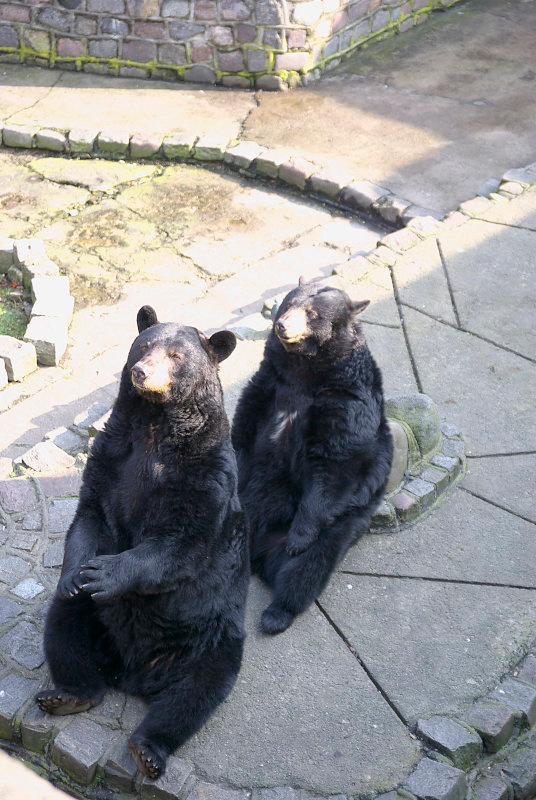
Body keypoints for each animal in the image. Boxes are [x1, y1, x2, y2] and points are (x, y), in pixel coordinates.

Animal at [37, 306, 249, 780]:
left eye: (175, 355)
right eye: (144, 346)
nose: (141, 372)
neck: (155, 425)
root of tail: (132, 674)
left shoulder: (206, 474)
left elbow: (180, 542)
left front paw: (106, 572)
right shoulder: (111, 457)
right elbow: (91, 514)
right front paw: (79, 574)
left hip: (211, 635)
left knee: (195, 694)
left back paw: (149, 749)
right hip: (95, 621)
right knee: (65, 628)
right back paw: (67, 693)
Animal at [231, 279, 393, 635]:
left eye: (313, 313)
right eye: (288, 303)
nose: (281, 325)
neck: (303, 372)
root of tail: (258, 553)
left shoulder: (345, 399)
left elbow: (333, 463)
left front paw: (299, 537)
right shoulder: (267, 384)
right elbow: (243, 430)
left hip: (339, 529)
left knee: (306, 570)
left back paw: (276, 614)